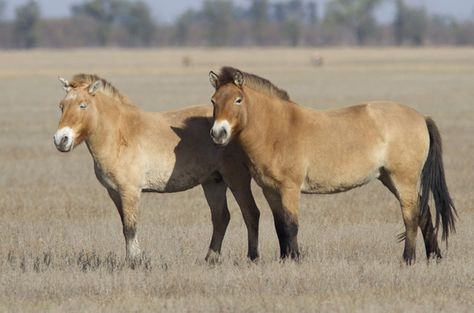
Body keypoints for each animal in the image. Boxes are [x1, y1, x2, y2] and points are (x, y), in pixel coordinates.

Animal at [53, 74, 262, 264]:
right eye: (61, 106)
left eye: (83, 105)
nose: (61, 139)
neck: (118, 134)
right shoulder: (114, 192)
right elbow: (125, 226)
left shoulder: (130, 191)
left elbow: (130, 227)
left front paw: (134, 261)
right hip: (213, 182)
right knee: (221, 218)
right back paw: (211, 258)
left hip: (237, 180)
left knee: (251, 213)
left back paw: (253, 257)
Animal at [208, 66, 456, 264]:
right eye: (213, 101)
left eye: (238, 100)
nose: (218, 133)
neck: (277, 129)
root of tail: (421, 117)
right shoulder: (270, 190)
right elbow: (280, 226)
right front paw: (284, 259)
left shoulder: (290, 188)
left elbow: (291, 225)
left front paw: (295, 260)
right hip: (389, 178)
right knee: (424, 213)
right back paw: (434, 257)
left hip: (403, 179)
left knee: (411, 216)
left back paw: (408, 259)